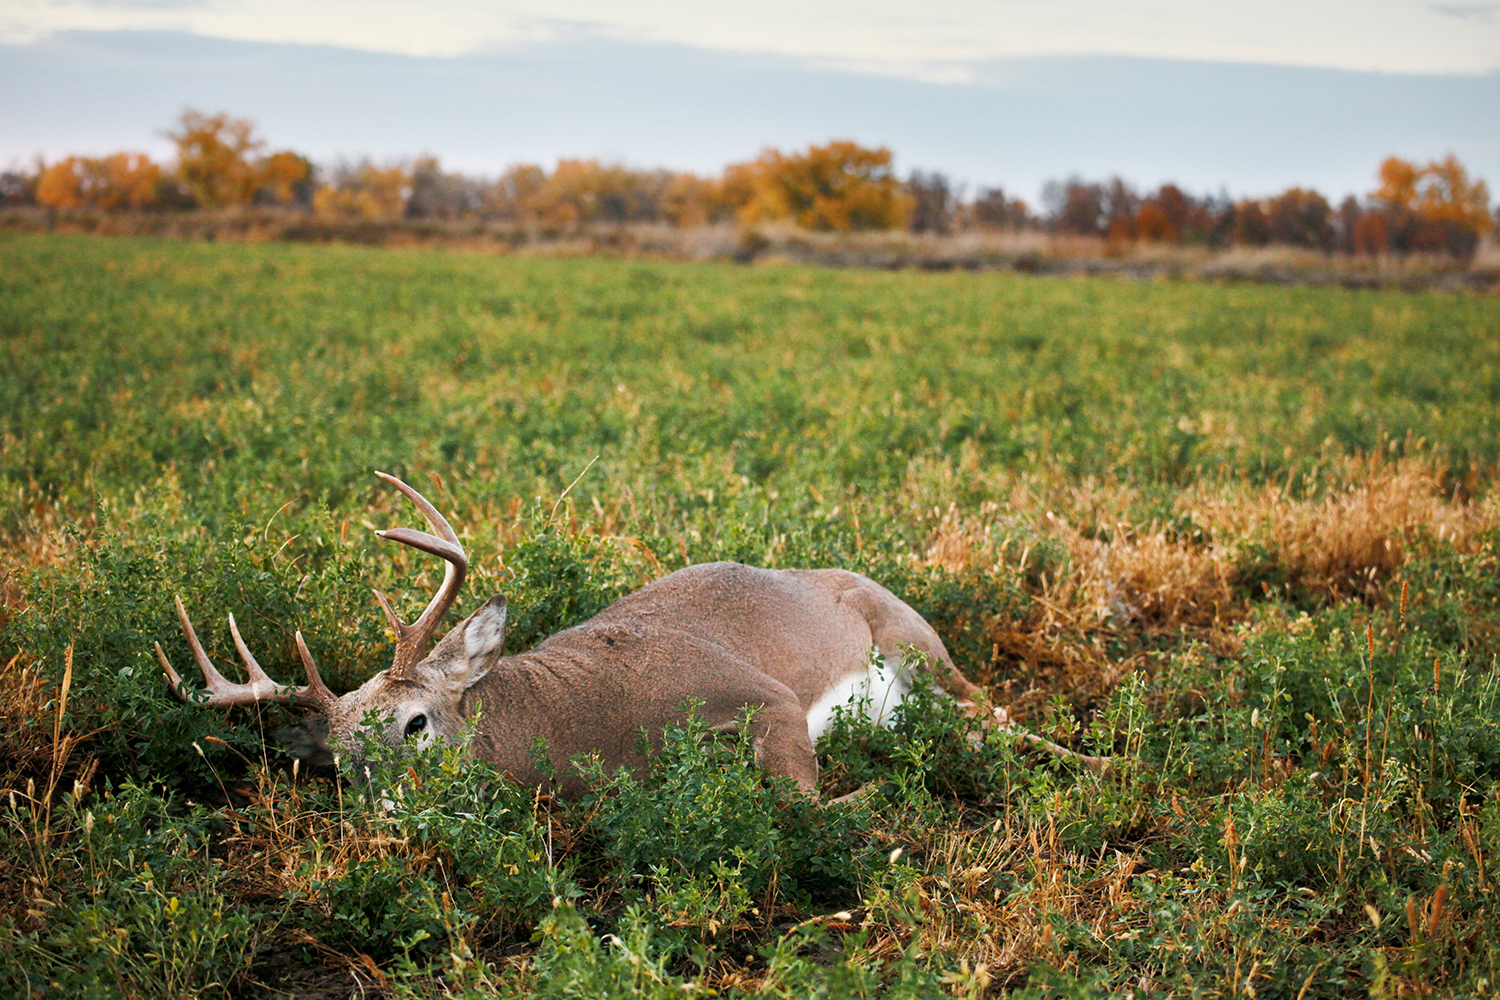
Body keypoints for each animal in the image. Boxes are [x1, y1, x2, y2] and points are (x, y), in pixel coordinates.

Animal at [158, 472, 1109, 799]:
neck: (566, 722)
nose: (389, 808)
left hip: (916, 642)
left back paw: (1101, 764)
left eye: (416, 723)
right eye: (340, 758)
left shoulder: (764, 697)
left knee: (996, 715)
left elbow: (806, 804)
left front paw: (867, 801)